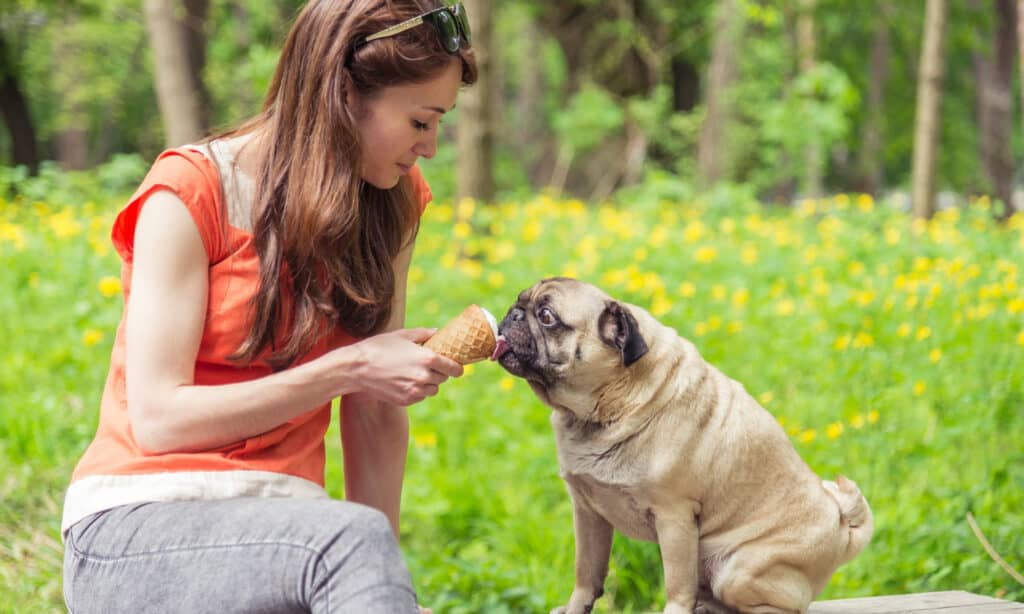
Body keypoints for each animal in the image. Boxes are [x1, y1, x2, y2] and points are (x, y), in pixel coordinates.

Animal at [491, 278, 868, 614]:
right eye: (521, 300)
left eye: (547, 316)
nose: (513, 313)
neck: (604, 407)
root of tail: (842, 529)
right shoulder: (587, 511)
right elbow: (586, 572)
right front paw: (574, 608)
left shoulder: (674, 517)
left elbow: (676, 585)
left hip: (738, 570)